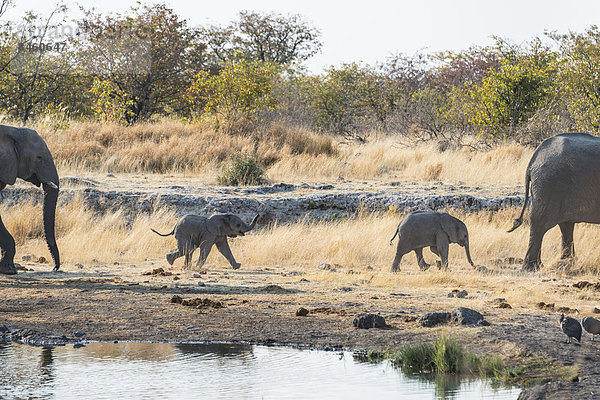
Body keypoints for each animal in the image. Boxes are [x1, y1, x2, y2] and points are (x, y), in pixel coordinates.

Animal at [508, 134, 600, 272]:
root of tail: (534, 159)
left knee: (565, 225)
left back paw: (565, 262)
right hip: (550, 184)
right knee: (539, 223)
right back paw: (532, 268)